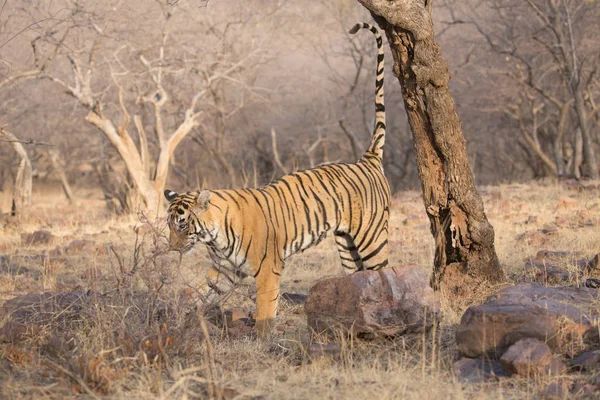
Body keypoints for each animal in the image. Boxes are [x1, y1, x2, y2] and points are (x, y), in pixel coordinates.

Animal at [165, 22, 390, 338]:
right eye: (170, 225)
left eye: (183, 226)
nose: (173, 248)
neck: (213, 237)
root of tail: (366, 159)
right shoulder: (224, 271)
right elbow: (200, 294)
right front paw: (180, 320)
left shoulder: (267, 269)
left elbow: (264, 307)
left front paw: (262, 338)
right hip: (348, 248)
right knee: (361, 277)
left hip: (372, 239)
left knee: (384, 271)